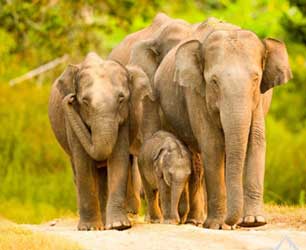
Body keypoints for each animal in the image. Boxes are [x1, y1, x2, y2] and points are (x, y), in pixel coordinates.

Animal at [48, 52, 158, 230]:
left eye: (121, 99)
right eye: (84, 101)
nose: (70, 98)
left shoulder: (124, 118)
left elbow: (118, 159)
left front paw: (118, 225)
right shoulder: (72, 121)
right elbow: (83, 162)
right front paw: (90, 228)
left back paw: (106, 220)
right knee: (77, 169)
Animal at [140, 21, 292, 229]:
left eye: (256, 79)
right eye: (214, 82)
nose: (234, 222)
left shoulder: (259, 100)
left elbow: (256, 141)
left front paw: (254, 222)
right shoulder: (196, 93)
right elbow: (212, 146)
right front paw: (217, 225)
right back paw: (192, 221)